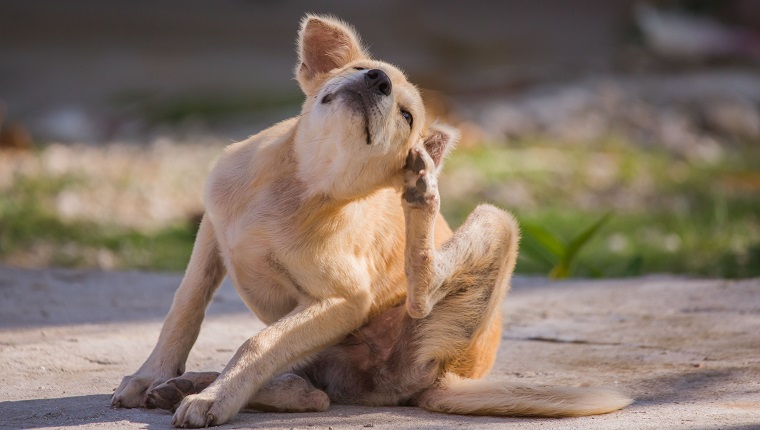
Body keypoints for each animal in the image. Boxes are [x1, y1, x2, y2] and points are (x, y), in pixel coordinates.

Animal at [111, 13, 636, 426]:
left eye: (406, 116)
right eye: (365, 70)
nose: (377, 82)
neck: (300, 185)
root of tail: (448, 376)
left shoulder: (344, 300)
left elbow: (258, 343)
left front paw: (215, 400)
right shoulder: (211, 233)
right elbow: (185, 308)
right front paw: (151, 375)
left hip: (492, 231)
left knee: (386, 325)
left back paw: (421, 196)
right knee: (310, 388)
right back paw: (185, 385)